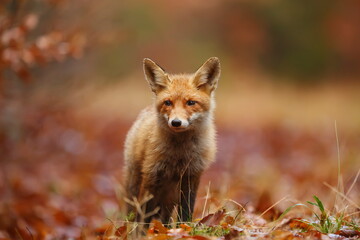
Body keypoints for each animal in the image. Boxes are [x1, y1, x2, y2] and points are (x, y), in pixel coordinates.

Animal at [124, 56, 219, 223]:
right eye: (168, 103)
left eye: (191, 103)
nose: (176, 122)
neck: (179, 154)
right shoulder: (151, 175)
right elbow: (144, 215)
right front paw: (143, 230)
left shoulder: (191, 176)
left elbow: (186, 211)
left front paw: (184, 227)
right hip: (136, 183)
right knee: (135, 212)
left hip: (170, 196)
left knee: (165, 217)